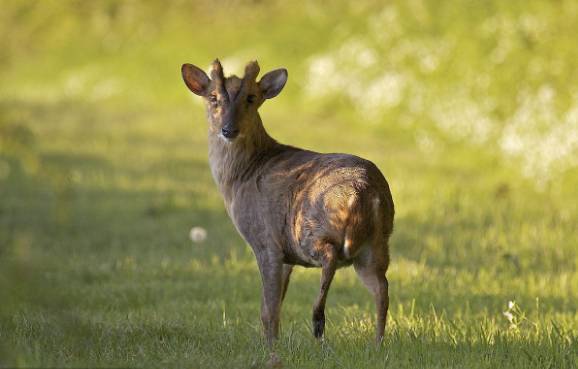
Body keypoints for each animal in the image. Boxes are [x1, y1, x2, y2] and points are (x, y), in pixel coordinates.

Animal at [182, 58, 394, 348]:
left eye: (251, 98)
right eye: (213, 97)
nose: (228, 129)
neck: (241, 176)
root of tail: (363, 191)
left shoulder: (265, 240)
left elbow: (268, 307)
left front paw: (269, 346)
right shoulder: (286, 257)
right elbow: (277, 303)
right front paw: (274, 339)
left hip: (309, 228)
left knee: (330, 256)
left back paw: (318, 322)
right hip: (376, 243)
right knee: (381, 288)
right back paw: (377, 344)